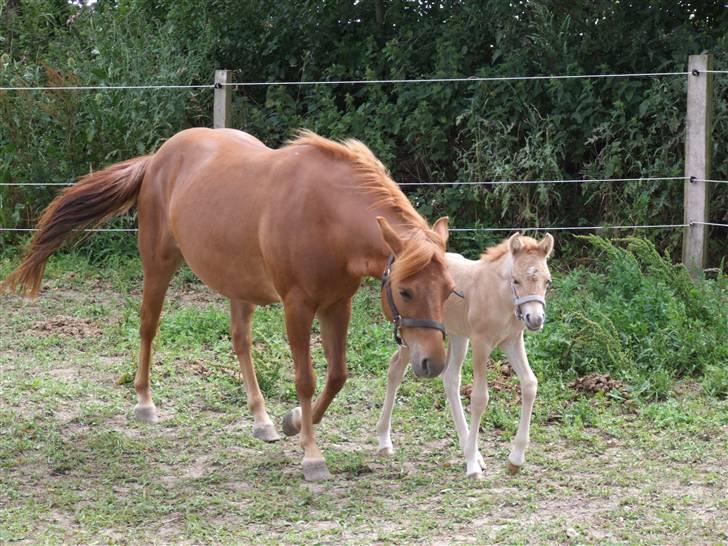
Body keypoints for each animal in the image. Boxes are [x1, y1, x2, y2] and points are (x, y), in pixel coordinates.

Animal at [1, 126, 456, 476]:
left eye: (449, 290)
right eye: (405, 290)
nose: (432, 363)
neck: (326, 214)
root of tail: (159, 158)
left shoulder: (336, 303)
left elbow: (338, 375)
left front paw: (293, 422)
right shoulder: (297, 306)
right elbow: (306, 379)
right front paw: (311, 456)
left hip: (238, 286)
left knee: (240, 342)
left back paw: (262, 420)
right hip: (158, 265)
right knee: (148, 325)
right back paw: (145, 403)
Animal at [378, 233, 556, 476]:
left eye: (547, 281)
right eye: (516, 280)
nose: (535, 319)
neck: (498, 296)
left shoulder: (512, 340)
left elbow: (529, 384)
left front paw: (515, 459)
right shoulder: (481, 343)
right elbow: (480, 397)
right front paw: (472, 465)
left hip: (457, 336)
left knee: (451, 379)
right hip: (414, 337)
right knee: (395, 369)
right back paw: (384, 441)